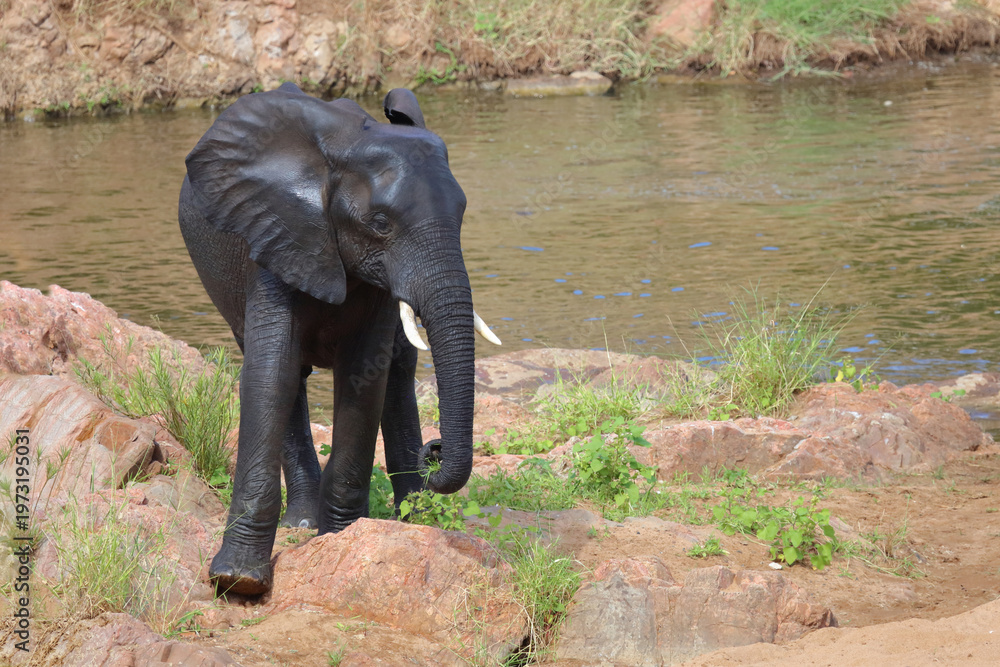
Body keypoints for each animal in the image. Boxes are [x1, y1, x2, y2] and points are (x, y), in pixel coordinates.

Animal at [178, 83, 501, 595]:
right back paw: (304, 525)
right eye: (381, 223)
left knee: (398, 373)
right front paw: (237, 581)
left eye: (463, 215)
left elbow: (364, 376)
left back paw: (413, 520)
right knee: (290, 377)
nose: (436, 450)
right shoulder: (273, 234)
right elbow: (271, 375)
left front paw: (345, 539)